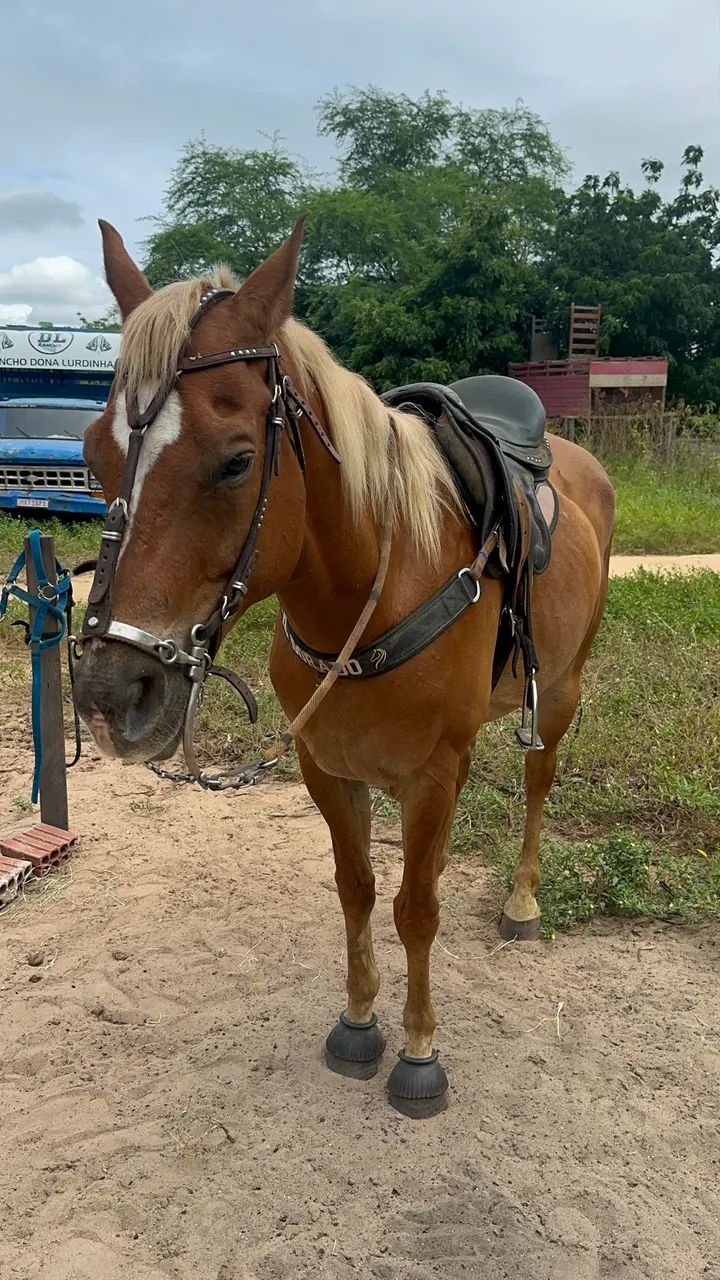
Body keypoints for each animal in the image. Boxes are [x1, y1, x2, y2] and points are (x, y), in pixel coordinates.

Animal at [74, 219, 615, 1117]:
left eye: (235, 461)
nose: (113, 695)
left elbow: (416, 909)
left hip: (564, 689)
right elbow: (357, 887)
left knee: (539, 784)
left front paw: (421, 1053)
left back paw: (522, 903)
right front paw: (360, 1023)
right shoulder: (326, 768)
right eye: (91, 456)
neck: (376, 592)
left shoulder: (433, 776)